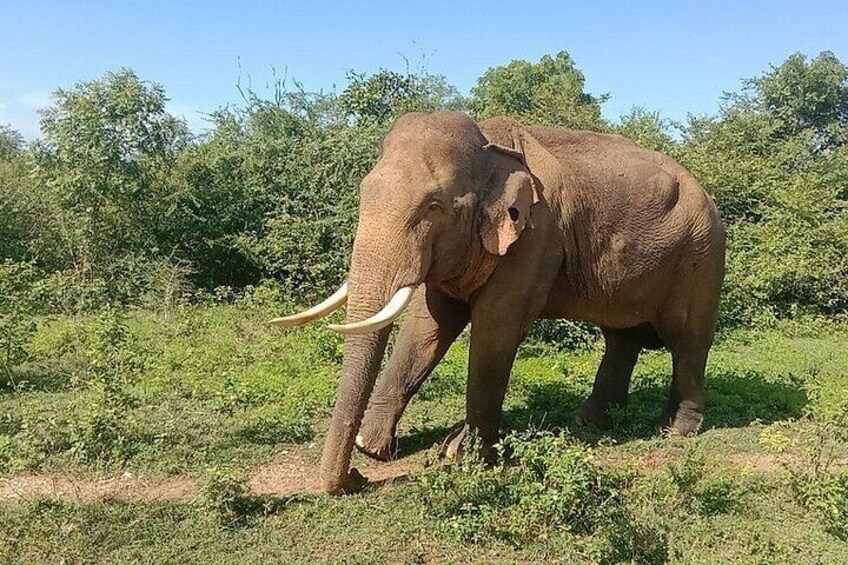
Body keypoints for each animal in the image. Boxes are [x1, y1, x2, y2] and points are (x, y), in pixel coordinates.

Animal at [274, 110, 724, 494]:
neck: (489, 146)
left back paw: (676, 429)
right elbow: (429, 324)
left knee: (688, 339)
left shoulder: (535, 235)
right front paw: (374, 446)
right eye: (364, 191)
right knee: (622, 338)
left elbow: (496, 328)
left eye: (433, 207)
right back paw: (591, 420)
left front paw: (461, 454)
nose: (356, 477)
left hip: (702, 256)